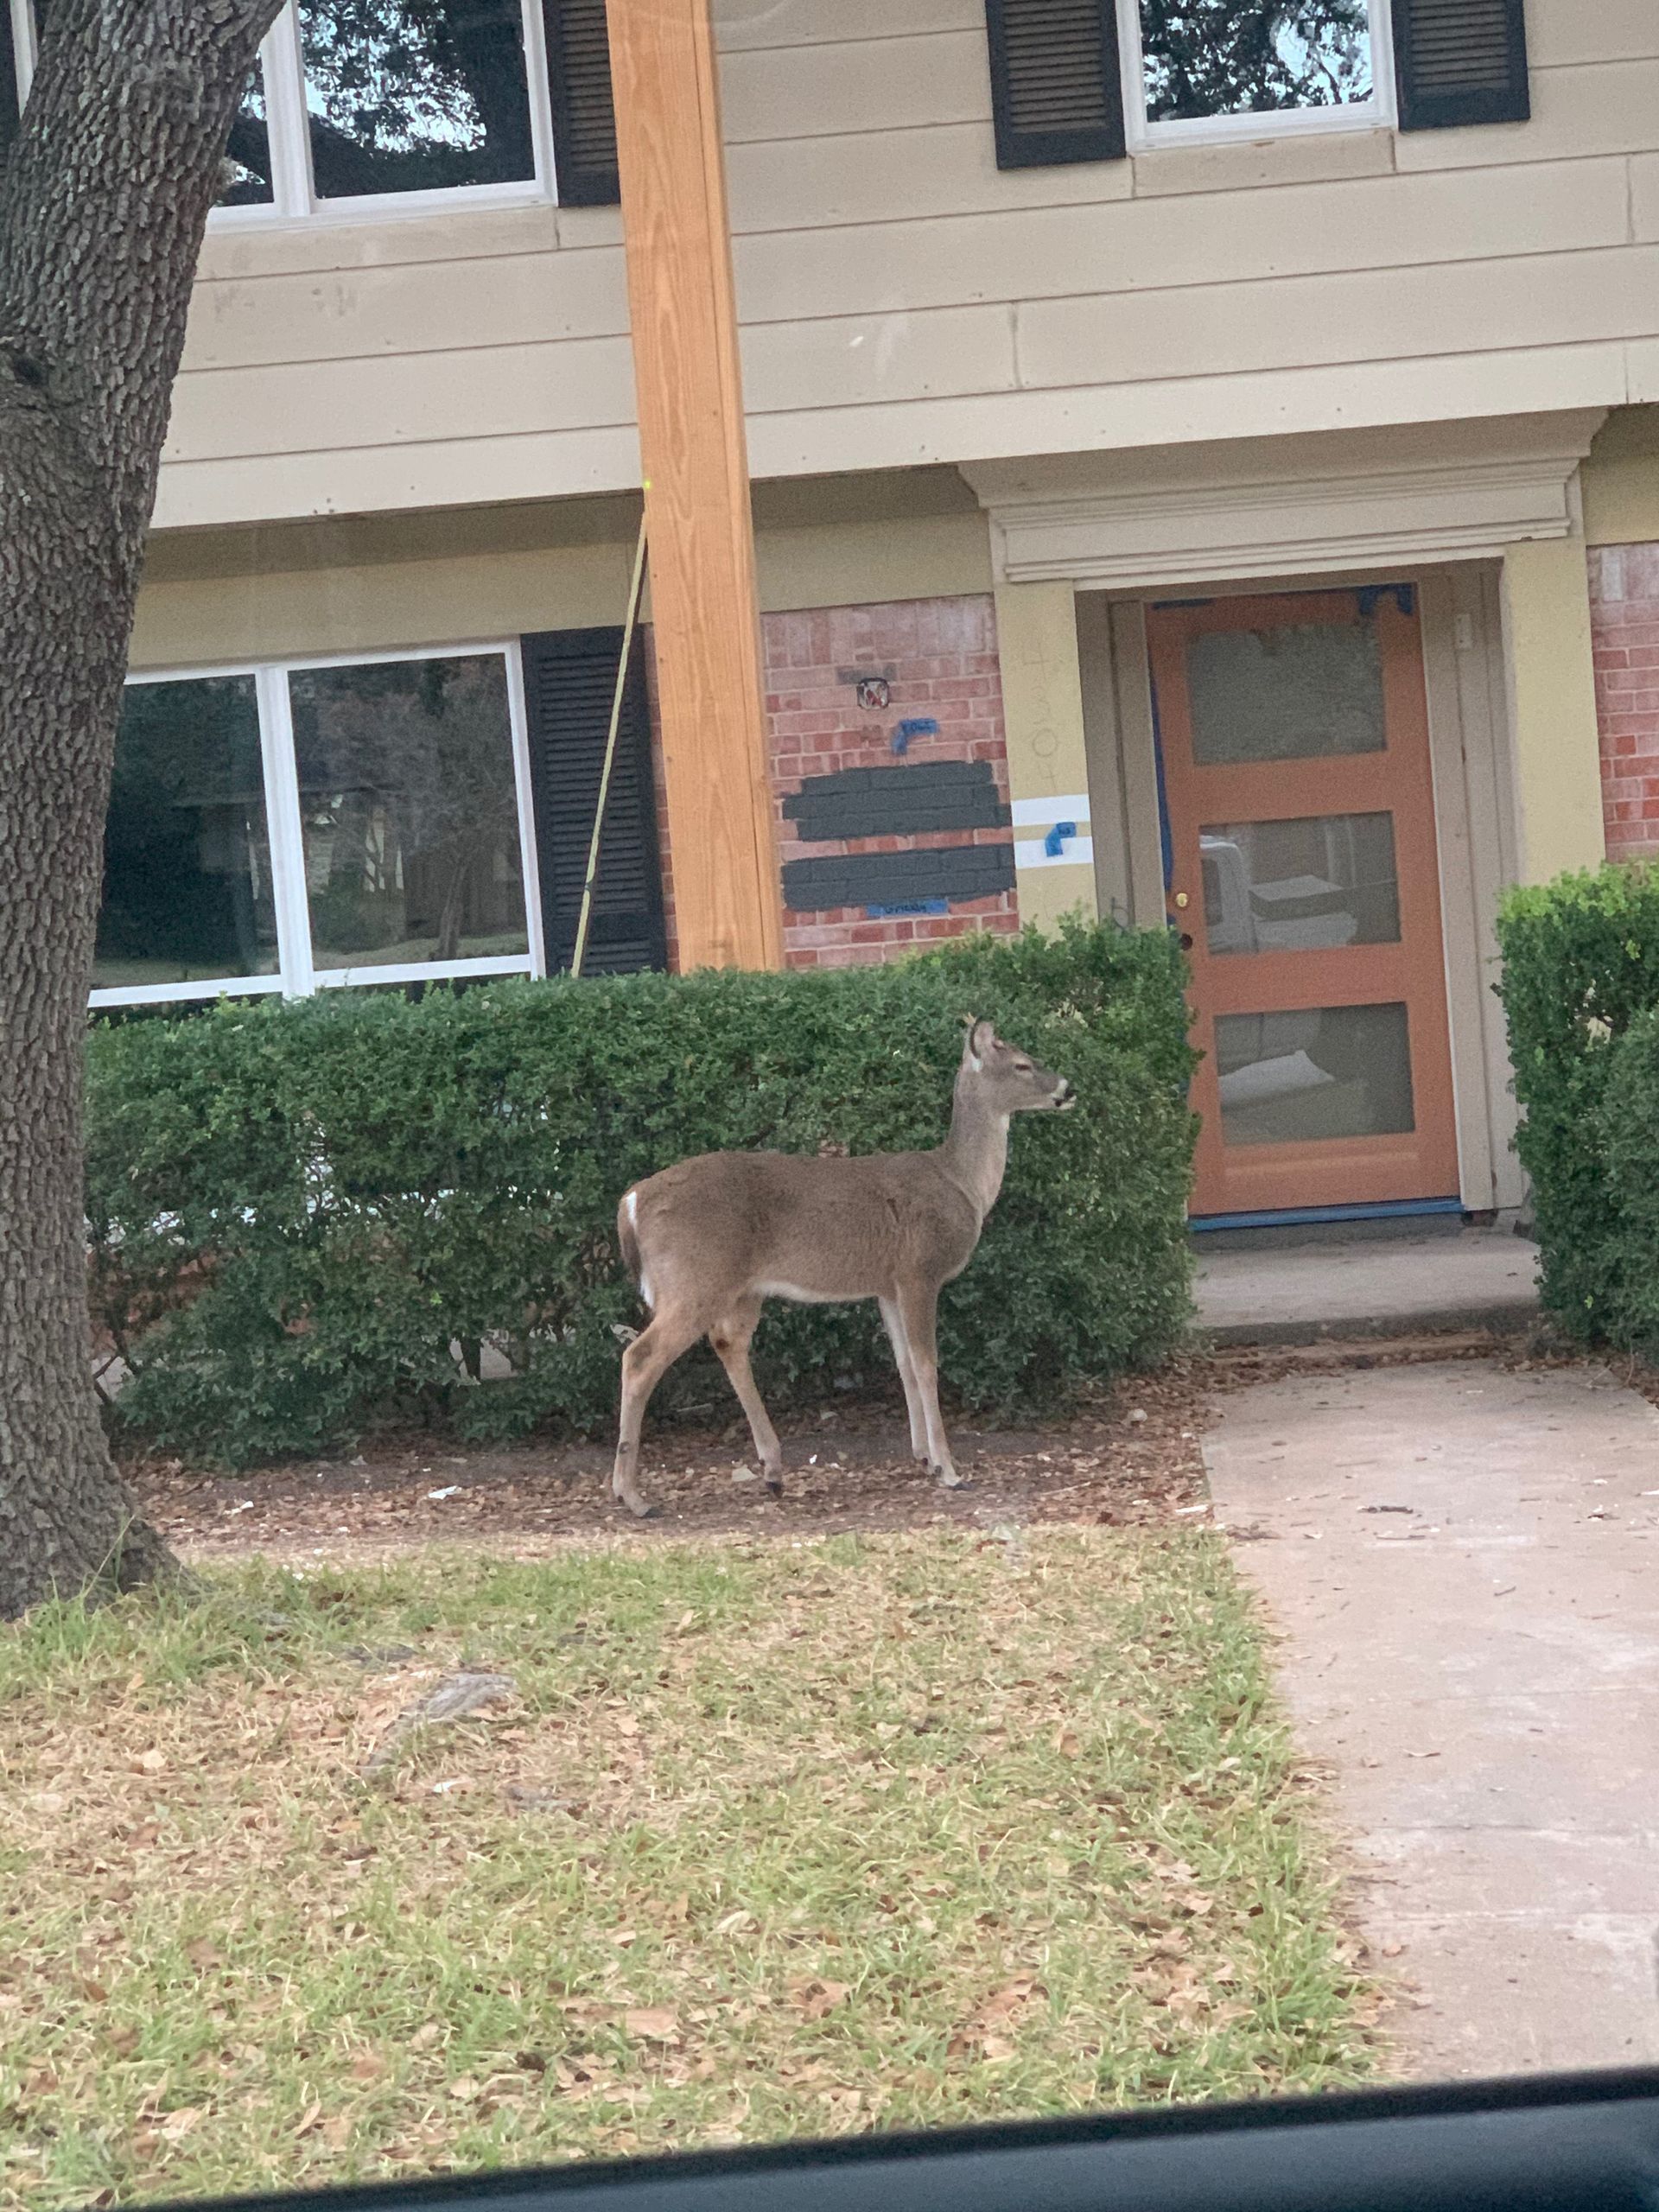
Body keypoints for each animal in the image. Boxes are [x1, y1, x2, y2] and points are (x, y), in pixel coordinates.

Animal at [609, 1018, 1075, 1518]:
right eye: (1022, 1064)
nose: (1068, 1088)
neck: (963, 1184)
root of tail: (630, 1203)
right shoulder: (919, 1270)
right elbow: (927, 1362)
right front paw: (950, 1470)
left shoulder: (887, 1284)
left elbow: (904, 1362)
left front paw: (923, 1457)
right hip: (694, 1279)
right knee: (640, 1357)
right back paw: (633, 1496)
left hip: (740, 1288)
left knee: (727, 1344)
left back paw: (771, 1471)